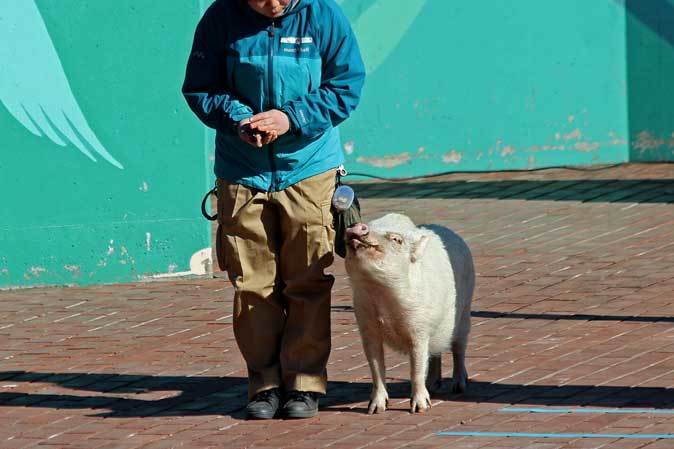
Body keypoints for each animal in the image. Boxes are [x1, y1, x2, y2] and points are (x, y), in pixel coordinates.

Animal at [344, 214, 470, 412]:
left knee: (459, 348)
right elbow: (375, 366)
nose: (358, 225)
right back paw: (433, 385)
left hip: (465, 313)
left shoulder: (419, 328)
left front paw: (420, 409)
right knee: (434, 353)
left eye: (397, 239)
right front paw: (374, 410)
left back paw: (458, 386)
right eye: (371, 224)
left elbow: (416, 367)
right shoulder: (366, 324)